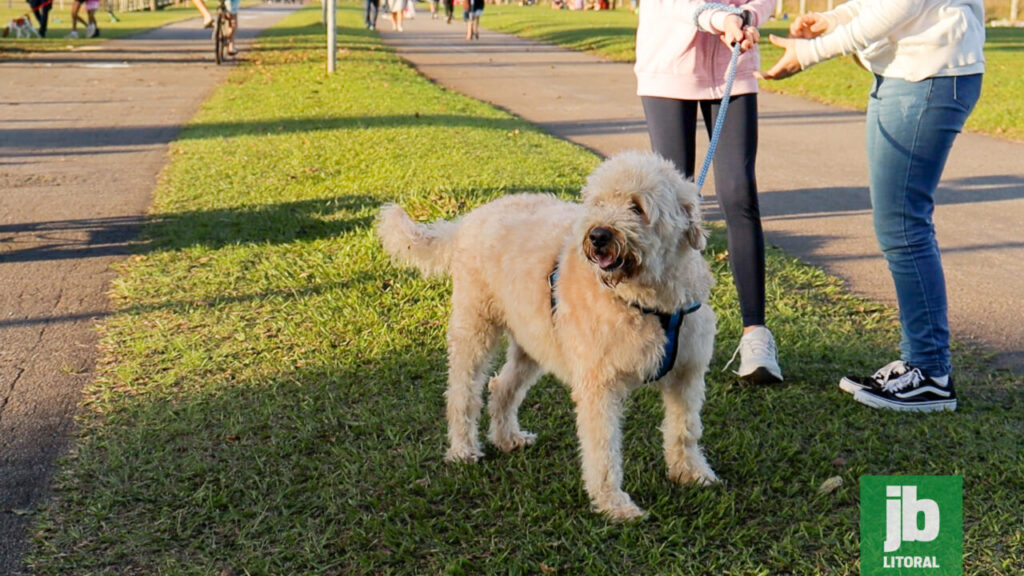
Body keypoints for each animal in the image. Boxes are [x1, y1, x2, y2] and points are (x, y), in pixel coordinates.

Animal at [378, 150, 720, 518]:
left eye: (637, 207)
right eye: (598, 203)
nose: (598, 235)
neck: (647, 301)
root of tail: (469, 219)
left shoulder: (687, 373)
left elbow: (685, 429)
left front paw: (691, 472)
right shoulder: (599, 386)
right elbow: (602, 449)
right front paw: (613, 504)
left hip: (532, 338)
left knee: (502, 386)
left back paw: (508, 438)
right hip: (474, 328)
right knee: (462, 393)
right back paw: (463, 448)